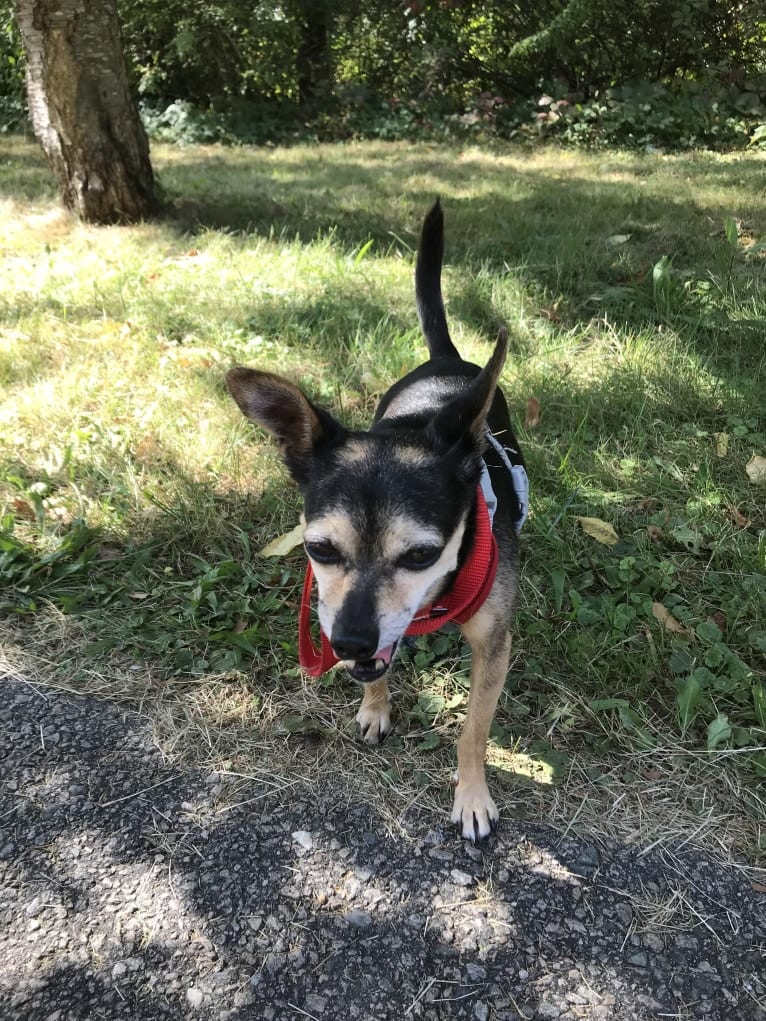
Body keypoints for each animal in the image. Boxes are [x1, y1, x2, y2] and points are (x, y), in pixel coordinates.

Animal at [226, 199, 527, 837]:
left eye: (421, 555)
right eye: (318, 549)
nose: (347, 643)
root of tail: (445, 361)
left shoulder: (495, 647)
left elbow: (473, 732)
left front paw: (471, 796)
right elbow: (383, 668)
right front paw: (374, 706)